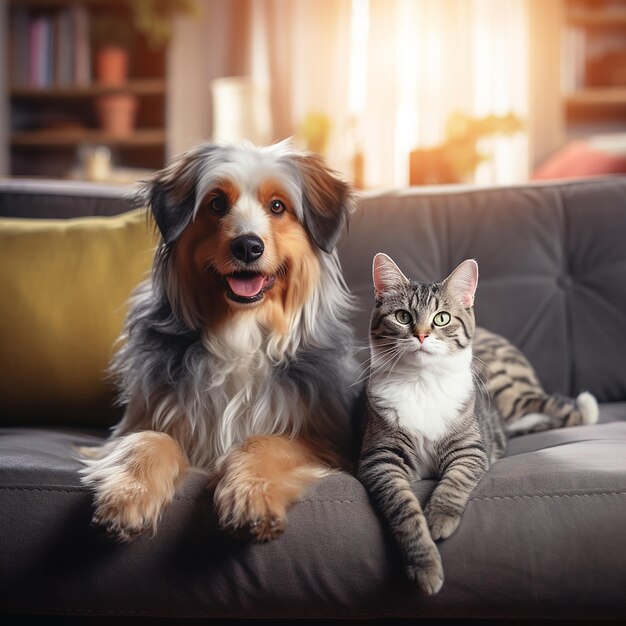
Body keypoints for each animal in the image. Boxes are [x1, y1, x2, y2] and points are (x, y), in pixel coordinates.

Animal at [80, 141, 358, 540]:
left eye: (278, 206)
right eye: (216, 204)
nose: (247, 246)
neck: (239, 331)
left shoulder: (321, 439)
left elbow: (264, 441)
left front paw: (251, 496)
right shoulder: (137, 422)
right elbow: (148, 440)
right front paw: (129, 495)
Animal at [354, 251, 596, 592]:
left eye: (442, 318)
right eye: (402, 316)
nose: (421, 334)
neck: (422, 383)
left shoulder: (470, 446)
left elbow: (455, 480)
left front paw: (439, 519)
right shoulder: (381, 456)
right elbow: (403, 507)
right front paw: (425, 565)